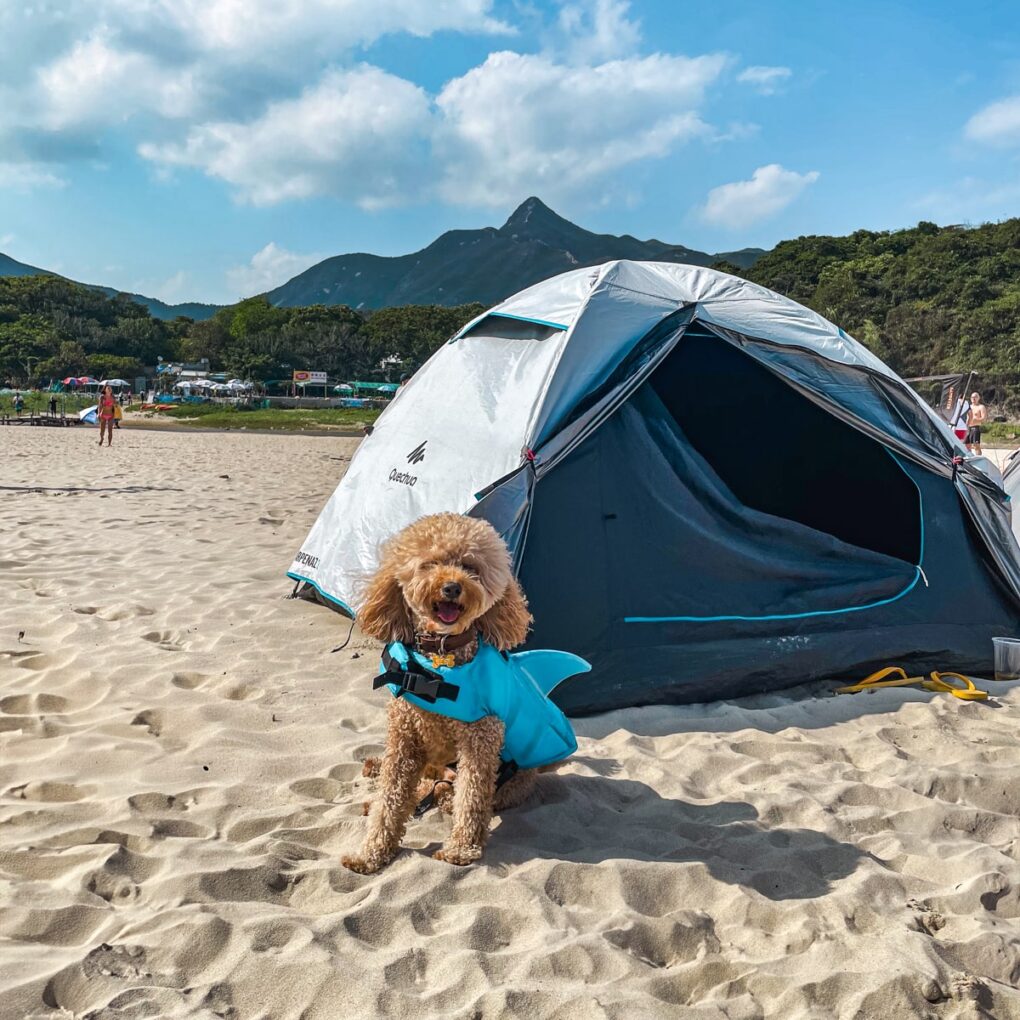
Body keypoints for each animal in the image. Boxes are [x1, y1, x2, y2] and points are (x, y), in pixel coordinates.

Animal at [342, 514, 575, 873]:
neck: (439, 660)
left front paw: (462, 848)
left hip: (508, 782)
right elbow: (390, 799)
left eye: (470, 567)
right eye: (430, 564)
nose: (452, 587)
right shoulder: (404, 739)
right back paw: (375, 782)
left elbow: (472, 797)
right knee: (422, 784)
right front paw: (370, 853)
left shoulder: (480, 739)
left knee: (451, 795)